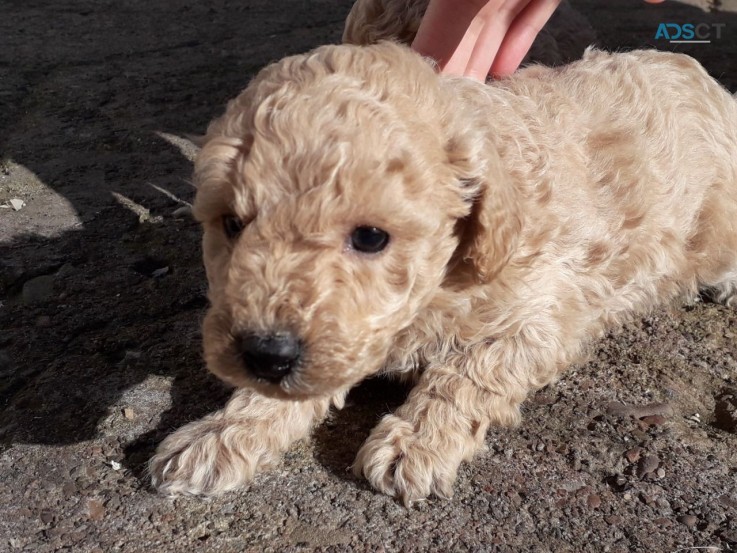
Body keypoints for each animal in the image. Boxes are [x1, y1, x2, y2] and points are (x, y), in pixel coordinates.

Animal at [150, 40, 736, 504]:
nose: (265, 355)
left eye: (370, 237)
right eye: (231, 223)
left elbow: (468, 372)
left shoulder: (541, 314)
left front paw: (416, 442)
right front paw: (220, 434)